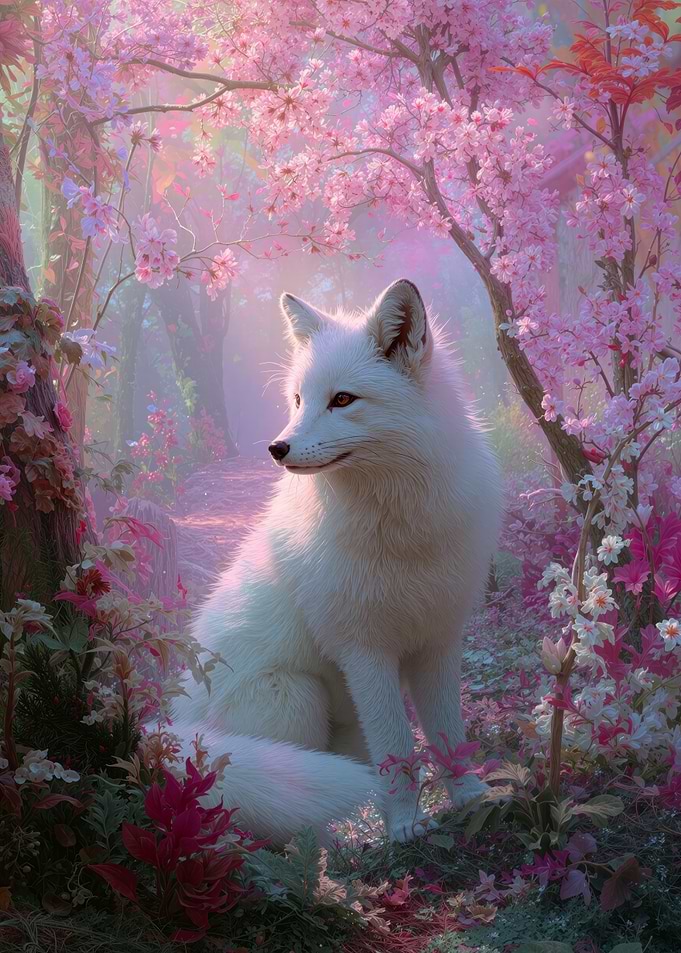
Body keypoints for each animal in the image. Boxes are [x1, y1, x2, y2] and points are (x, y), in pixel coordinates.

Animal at [173, 279, 503, 846]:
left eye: (343, 399)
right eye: (299, 400)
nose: (277, 448)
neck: (401, 529)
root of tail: (170, 720)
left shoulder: (438, 642)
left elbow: (447, 735)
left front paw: (467, 797)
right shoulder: (364, 651)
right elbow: (398, 750)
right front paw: (406, 825)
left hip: (342, 725)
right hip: (298, 700)